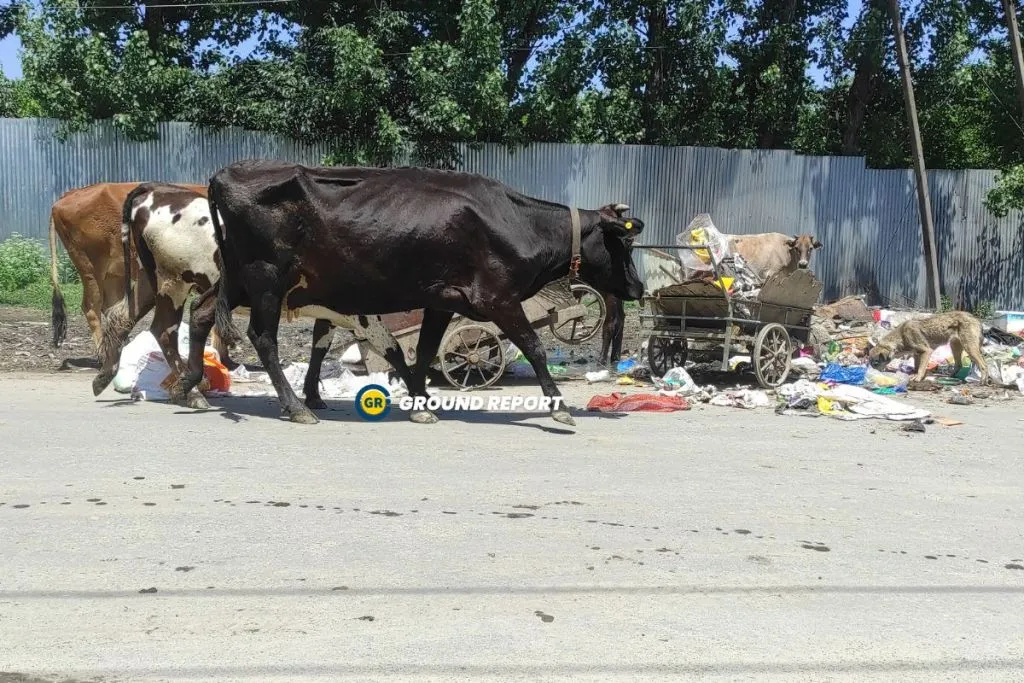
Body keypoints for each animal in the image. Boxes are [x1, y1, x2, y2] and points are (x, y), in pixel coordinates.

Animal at [172, 160, 643, 428]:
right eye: (623, 243)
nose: (638, 287)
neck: (517, 222)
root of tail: (226, 173)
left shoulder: (441, 299)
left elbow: (425, 350)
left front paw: (422, 402)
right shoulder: (498, 299)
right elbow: (533, 346)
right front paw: (558, 407)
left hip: (235, 278)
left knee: (201, 314)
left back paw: (190, 388)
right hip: (267, 279)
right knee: (262, 337)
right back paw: (296, 406)